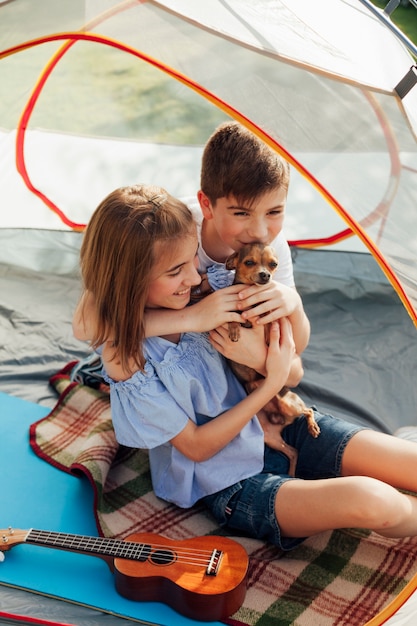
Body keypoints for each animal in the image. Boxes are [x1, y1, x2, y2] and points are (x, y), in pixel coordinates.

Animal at [224, 243, 318, 472]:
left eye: (273, 264)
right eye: (249, 262)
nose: (265, 275)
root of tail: (280, 419)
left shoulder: (272, 317)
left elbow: (269, 321)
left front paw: (262, 328)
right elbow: (234, 314)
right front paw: (235, 327)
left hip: (288, 404)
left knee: (308, 410)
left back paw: (313, 427)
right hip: (269, 437)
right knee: (293, 451)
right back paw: (292, 471)